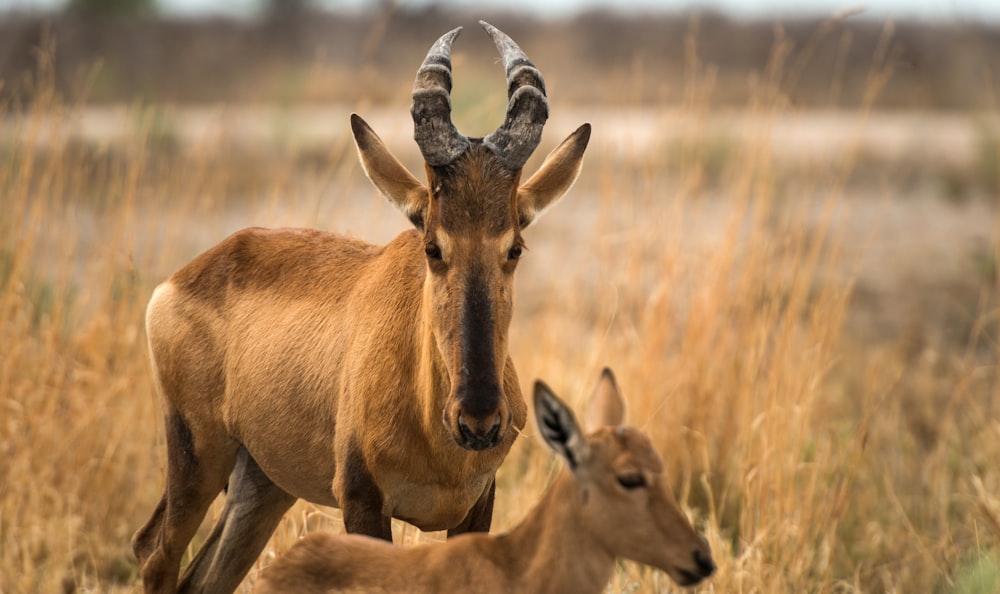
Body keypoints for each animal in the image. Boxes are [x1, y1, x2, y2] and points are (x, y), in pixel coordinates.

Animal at [129, 19, 588, 592]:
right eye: (432, 246)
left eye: (515, 248)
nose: (478, 422)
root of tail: (181, 278)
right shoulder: (361, 501)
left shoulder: (477, 507)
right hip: (197, 455)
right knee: (154, 551)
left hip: (261, 481)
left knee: (204, 575)